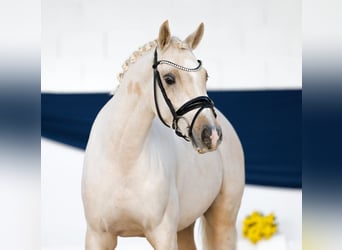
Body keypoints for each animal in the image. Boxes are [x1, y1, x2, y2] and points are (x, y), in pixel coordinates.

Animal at [81, 20, 244, 249]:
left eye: (205, 76)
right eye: (169, 78)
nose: (211, 134)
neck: (122, 159)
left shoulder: (163, 235)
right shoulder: (98, 236)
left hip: (223, 221)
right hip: (184, 227)